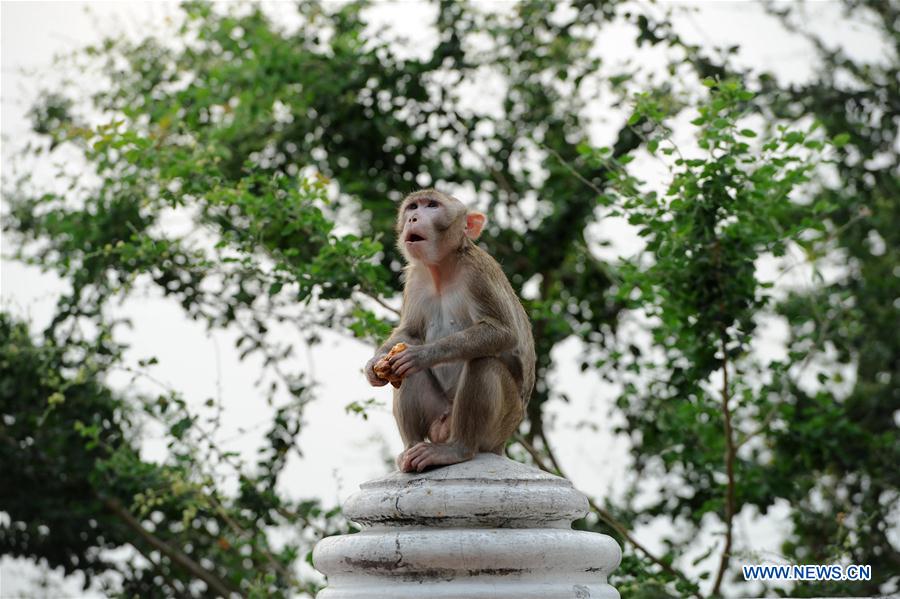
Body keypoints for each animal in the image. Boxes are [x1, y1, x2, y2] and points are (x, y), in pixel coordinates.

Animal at [366, 190, 536, 472]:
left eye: (432, 206)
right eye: (413, 206)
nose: (413, 218)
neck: (441, 269)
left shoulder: (477, 272)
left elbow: (503, 332)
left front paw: (420, 355)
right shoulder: (415, 278)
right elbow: (409, 332)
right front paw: (374, 364)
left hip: (500, 425)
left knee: (483, 362)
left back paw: (457, 449)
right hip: (438, 414)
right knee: (404, 374)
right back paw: (410, 448)